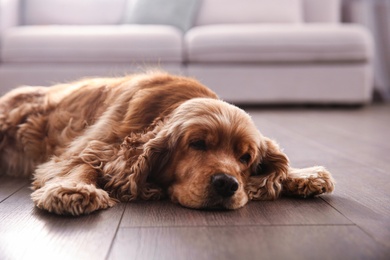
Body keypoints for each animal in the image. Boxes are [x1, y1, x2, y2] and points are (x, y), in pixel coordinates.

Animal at [0, 71, 336, 215]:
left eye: (246, 157)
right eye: (197, 143)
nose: (227, 184)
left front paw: (306, 175)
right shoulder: (89, 147)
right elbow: (83, 165)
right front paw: (74, 190)